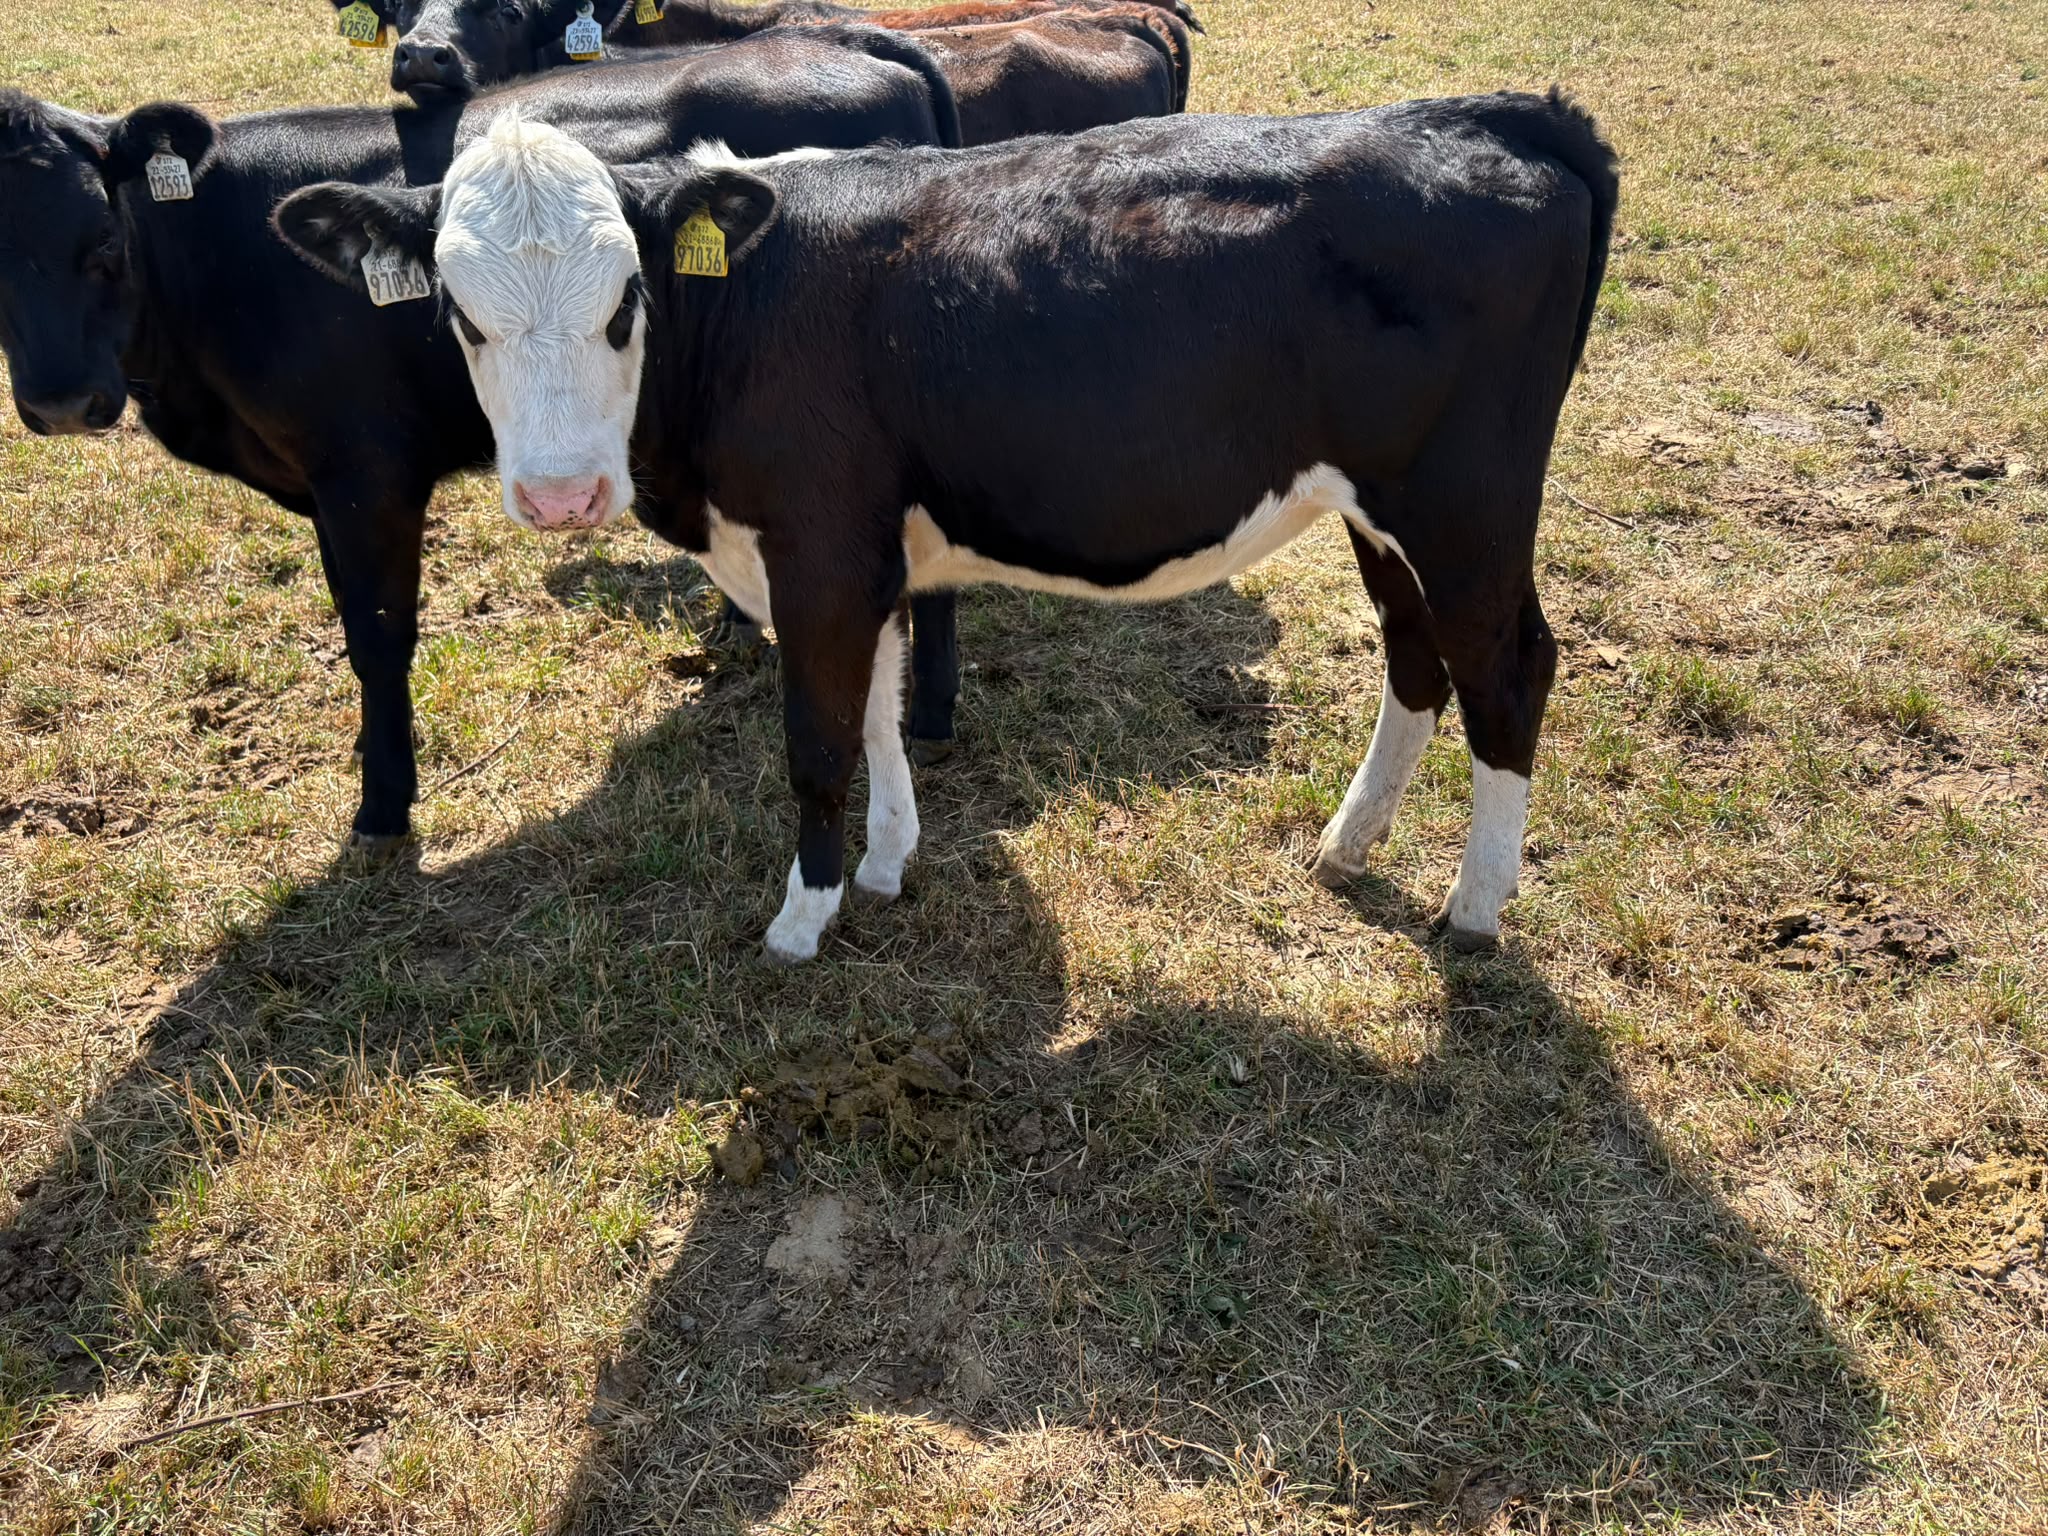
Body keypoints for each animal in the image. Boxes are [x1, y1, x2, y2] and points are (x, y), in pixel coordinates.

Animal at [0, 29, 961, 859]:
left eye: (105, 240)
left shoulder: (367, 474)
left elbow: (377, 635)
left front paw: (383, 806)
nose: (61, 401)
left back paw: (932, 718)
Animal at [274, 94, 1618, 963]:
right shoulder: (858, 555)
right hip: (1377, 510)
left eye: (626, 301)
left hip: (1463, 503)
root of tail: (1491, 115)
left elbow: (817, 739)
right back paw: (1348, 846)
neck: (747, 306)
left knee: (1507, 669)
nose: (560, 494)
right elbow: (873, 713)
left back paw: (1473, 910)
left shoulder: (815, 548)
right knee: (1414, 659)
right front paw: (882, 866)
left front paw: (801, 920)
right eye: (459, 312)